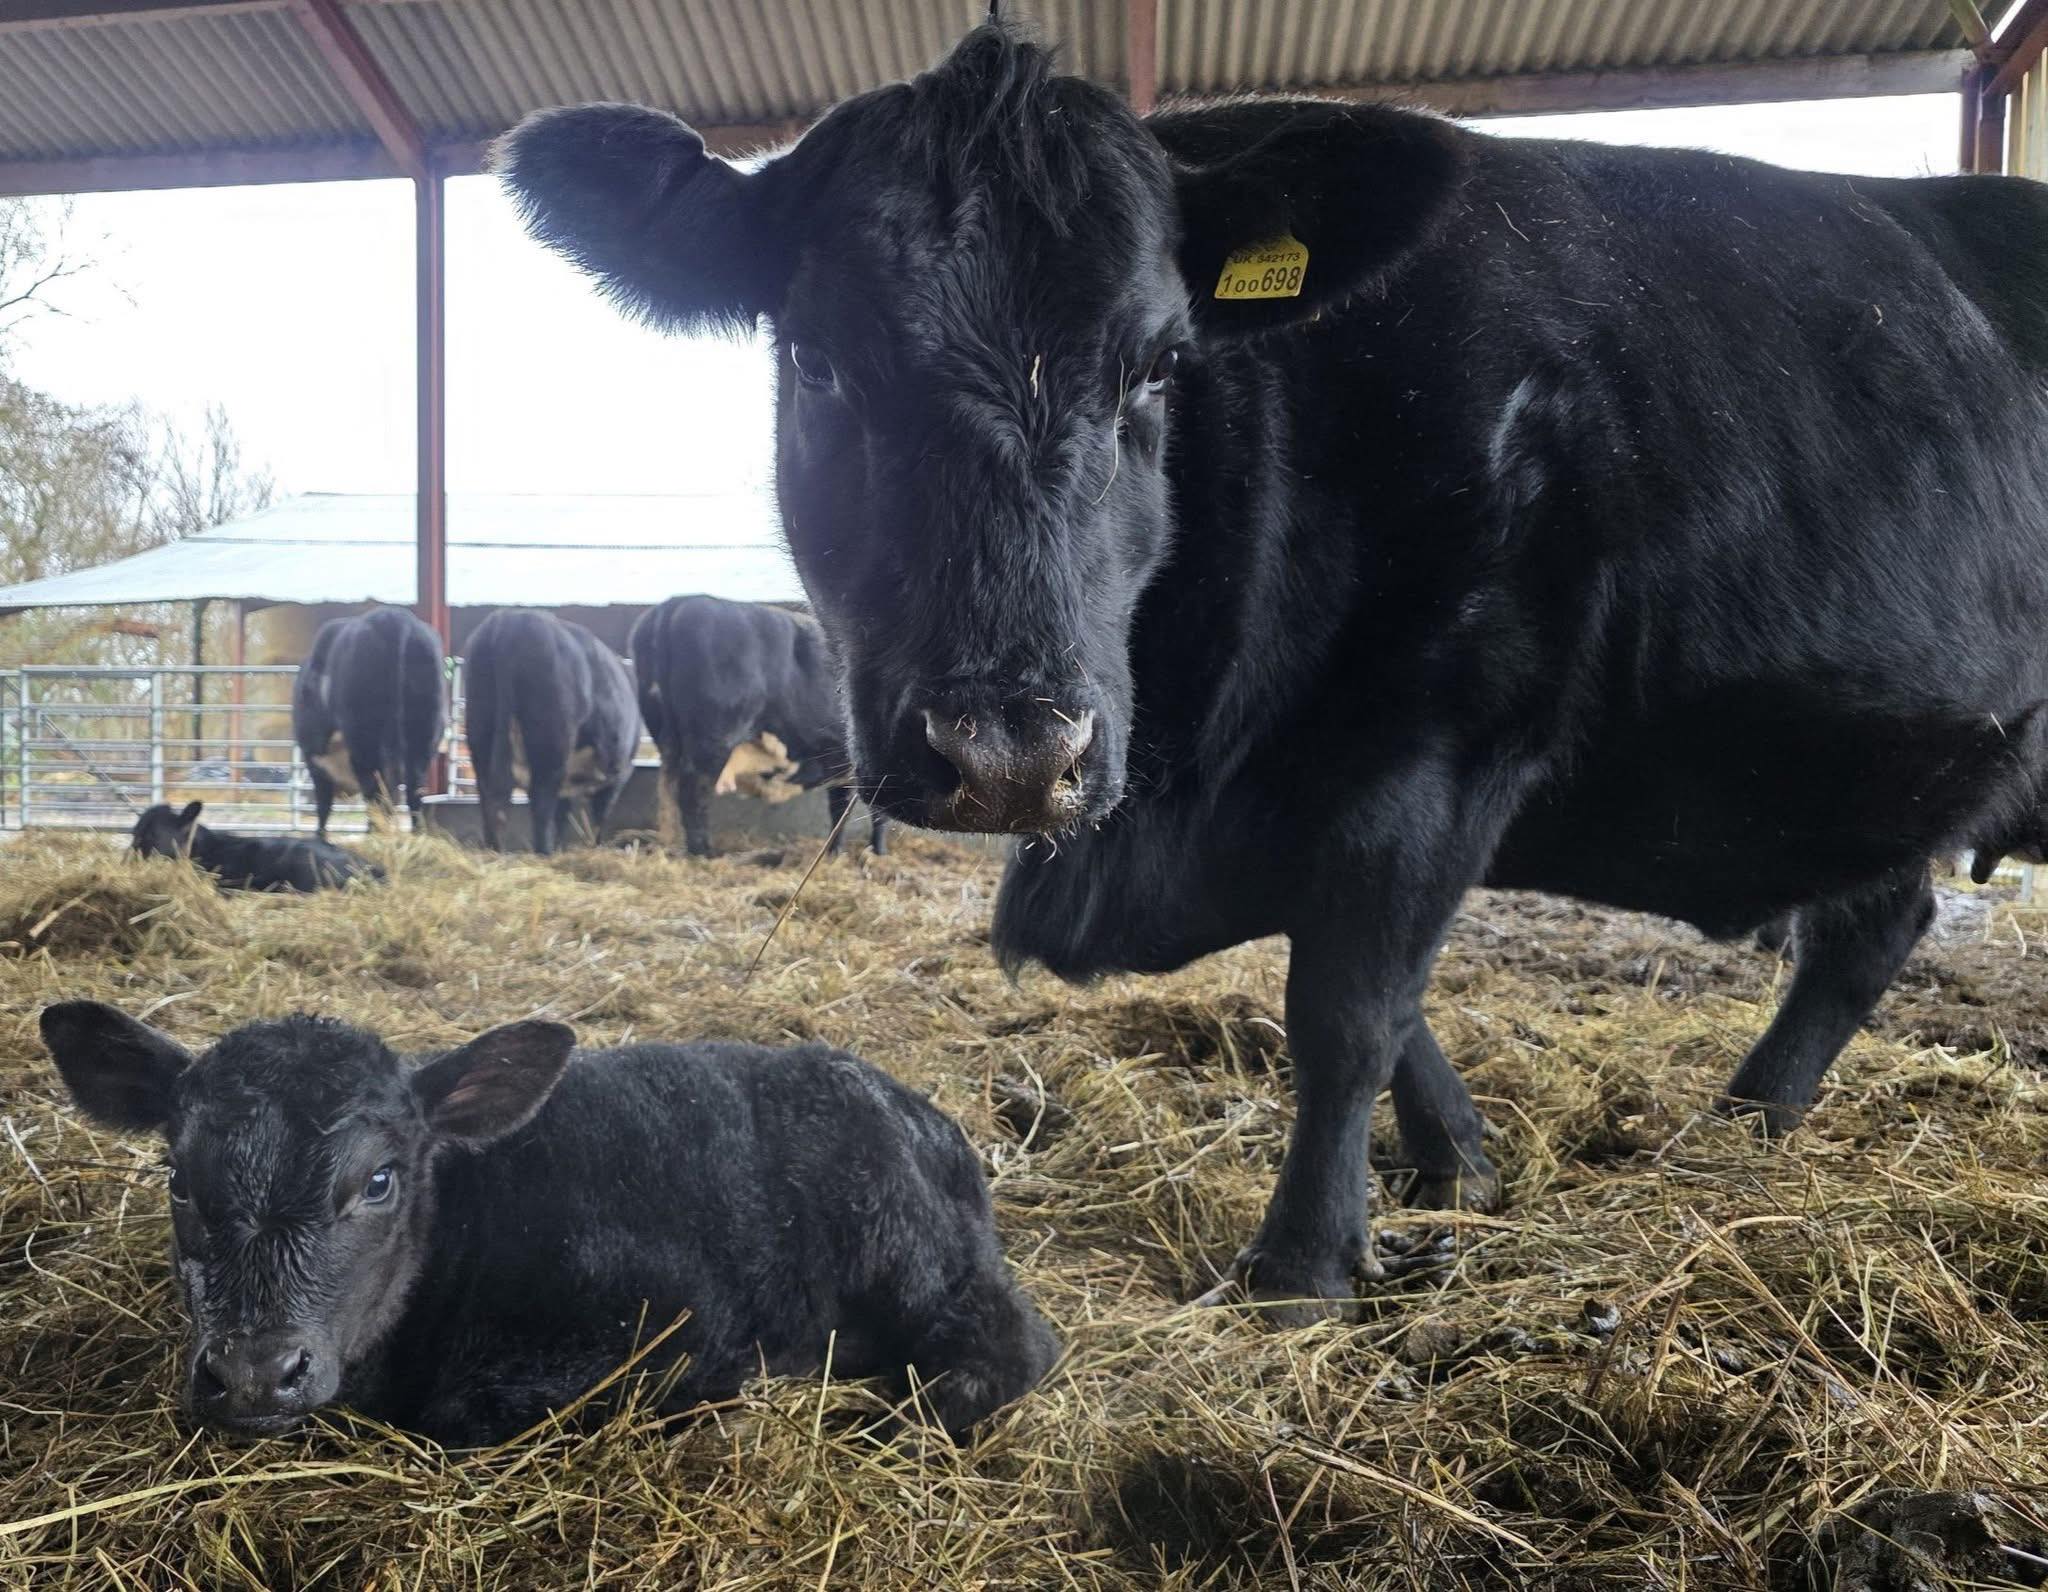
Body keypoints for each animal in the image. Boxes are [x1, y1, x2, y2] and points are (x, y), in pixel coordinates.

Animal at [38, 1001, 1059, 1446]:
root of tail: (927, 1114)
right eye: (179, 1179)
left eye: (379, 1181)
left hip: (916, 1257)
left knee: (1016, 1341)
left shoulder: (673, 1323)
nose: (255, 1371)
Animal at [292, 606, 446, 840]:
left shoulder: (317, 762)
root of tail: (396, 618)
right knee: (414, 792)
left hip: (365, 742)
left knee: (375, 792)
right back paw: (415, 835)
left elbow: (323, 805)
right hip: (422, 738)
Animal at [462, 609, 640, 855]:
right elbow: (597, 818)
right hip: (550, 749)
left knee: (490, 800)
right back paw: (543, 853)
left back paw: (493, 851)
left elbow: (563, 815)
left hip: (480, 734)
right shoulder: (617, 775)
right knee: (540, 802)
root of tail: (512, 618)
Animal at [627, 594, 886, 857]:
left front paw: (834, 852)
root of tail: (680, 602)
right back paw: (704, 851)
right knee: (693, 790)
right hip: (714, 737)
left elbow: (839, 808)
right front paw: (875, 850)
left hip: (666, 733)